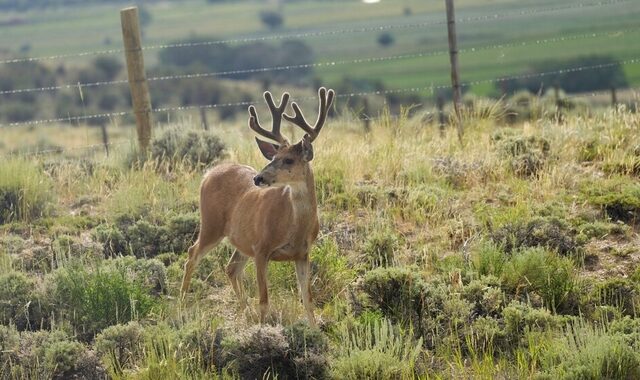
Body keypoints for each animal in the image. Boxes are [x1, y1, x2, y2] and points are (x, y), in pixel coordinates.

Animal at [178, 87, 332, 326]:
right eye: (274, 157)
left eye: (288, 160)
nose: (258, 178)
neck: (295, 228)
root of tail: (207, 174)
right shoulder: (262, 248)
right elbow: (264, 300)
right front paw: (262, 329)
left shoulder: (303, 253)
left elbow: (308, 299)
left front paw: (315, 330)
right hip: (212, 225)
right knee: (192, 254)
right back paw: (181, 306)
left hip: (241, 238)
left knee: (231, 267)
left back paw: (245, 310)